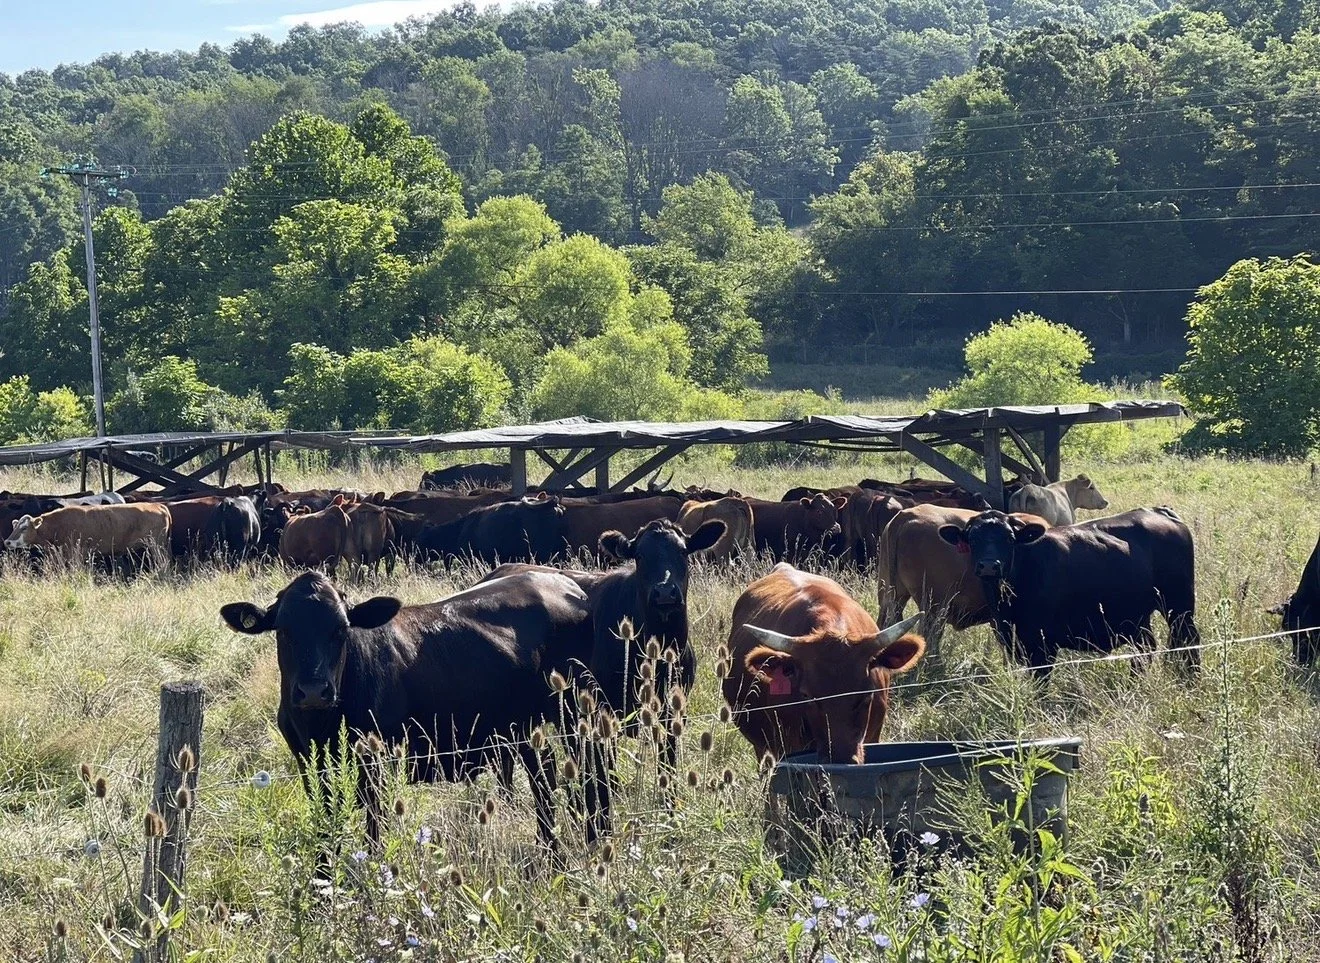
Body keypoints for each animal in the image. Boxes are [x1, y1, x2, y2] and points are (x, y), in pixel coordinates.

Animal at [5, 502, 171, 568]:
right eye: (14, 526)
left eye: (24, 528)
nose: (7, 542)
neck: (58, 524)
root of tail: (156, 505)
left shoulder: (76, 553)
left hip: (156, 545)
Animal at [219, 570, 594, 852]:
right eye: (283, 630)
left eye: (340, 629)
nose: (314, 690)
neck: (319, 724)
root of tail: (564, 583)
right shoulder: (307, 762)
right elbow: (325, 821)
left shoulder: (373, 761)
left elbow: (373, 828)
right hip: (525, 729)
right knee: (545, 778)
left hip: (574, 716)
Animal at [481, 516, 726, 839]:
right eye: (640, 556)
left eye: (684, 552)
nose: (665, 592)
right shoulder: (602, 711)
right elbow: (604, 771)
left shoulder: (674, 710)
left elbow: (667, 764)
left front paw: (670, 813)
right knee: (506, 758)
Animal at [936, 508, 1202, 676]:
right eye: (972, 538)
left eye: (1009, 538)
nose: (989, 566)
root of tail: (1158, 511)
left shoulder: (1041, 645)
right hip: (1137, 615)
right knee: (1146, 648)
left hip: (1179, 605)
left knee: (1189, 640)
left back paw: (1191, 680)